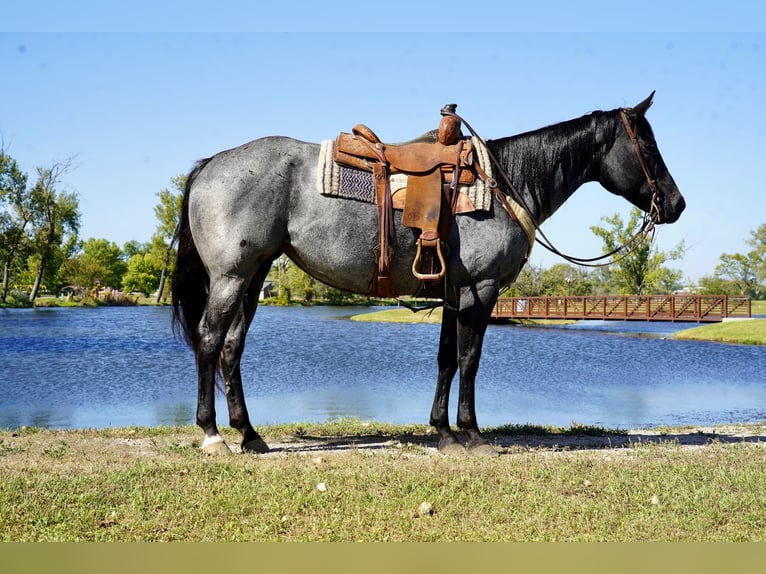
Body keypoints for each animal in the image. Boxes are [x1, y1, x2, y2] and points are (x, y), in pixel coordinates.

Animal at [171, 93, 685, 456]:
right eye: (646, 144)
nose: (676, 204)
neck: (505, 184)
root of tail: (211, 164)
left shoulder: (453, 291)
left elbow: (446, 359)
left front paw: (443, 431)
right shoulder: (481, 290)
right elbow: (470, 359)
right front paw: (472, 433)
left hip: (253, 277)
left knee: (232, 348)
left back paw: (249, 434)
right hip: (231, 277)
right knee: (211, 341)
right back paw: (213, 435)